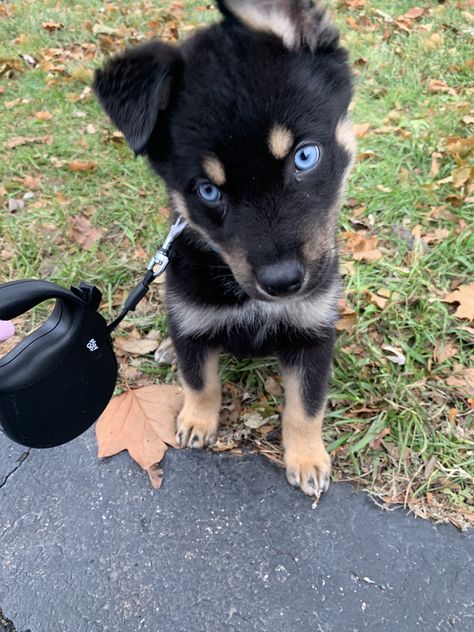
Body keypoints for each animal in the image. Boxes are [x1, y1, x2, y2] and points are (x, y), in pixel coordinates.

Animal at [94, 0, 356, 496]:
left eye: (305, 156)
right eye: (208, 191)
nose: (283, 283)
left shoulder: (312, 333)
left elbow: (306, 404)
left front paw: (308, 459)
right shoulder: (192, 320)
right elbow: (200, 381)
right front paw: (197, 421)